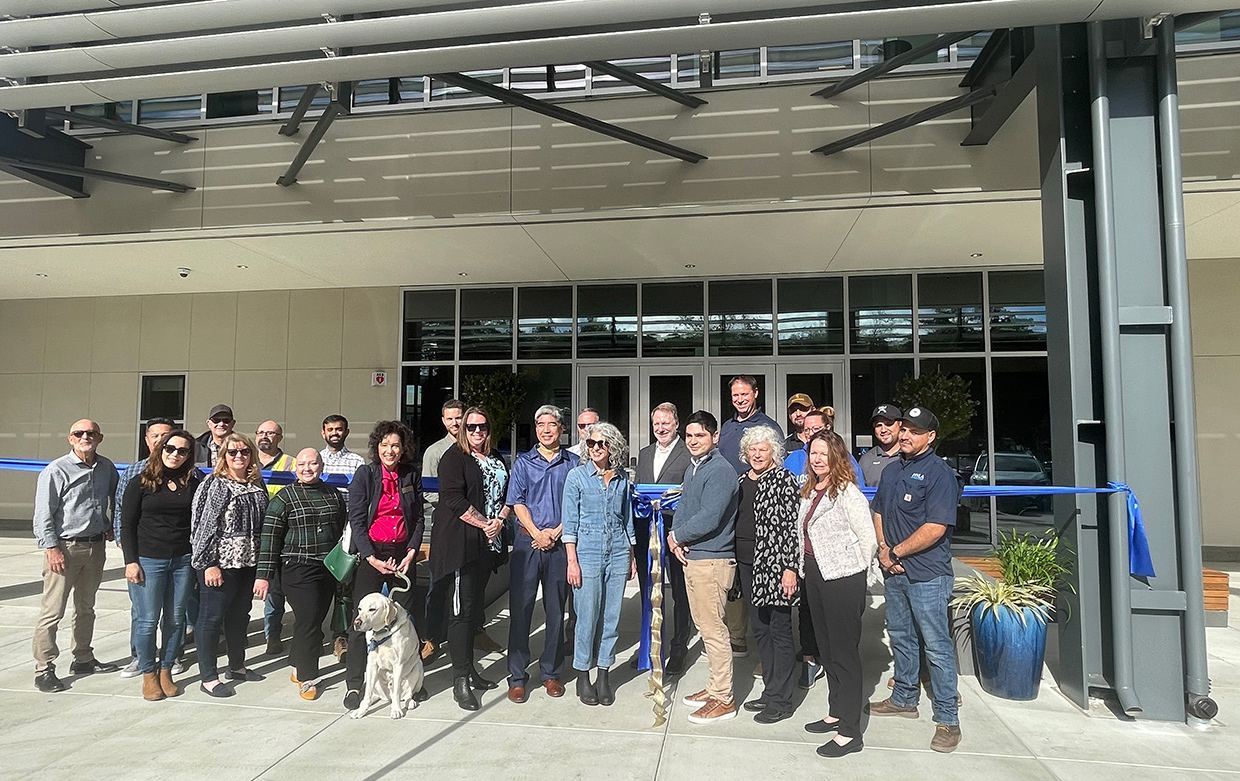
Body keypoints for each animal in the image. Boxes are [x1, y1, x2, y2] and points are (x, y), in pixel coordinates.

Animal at [349, 592, 426, 723]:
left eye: (372, 609)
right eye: (359, 609)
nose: (357, 622)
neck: (382, 633)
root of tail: (386, 697)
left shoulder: (398, 664)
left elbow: (396, 692)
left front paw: (396, 710)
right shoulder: (371, 664)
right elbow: (367, 693)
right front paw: (361, 710)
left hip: (418, 667)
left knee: (407, 694)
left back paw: (409, 702)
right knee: (372, 694)